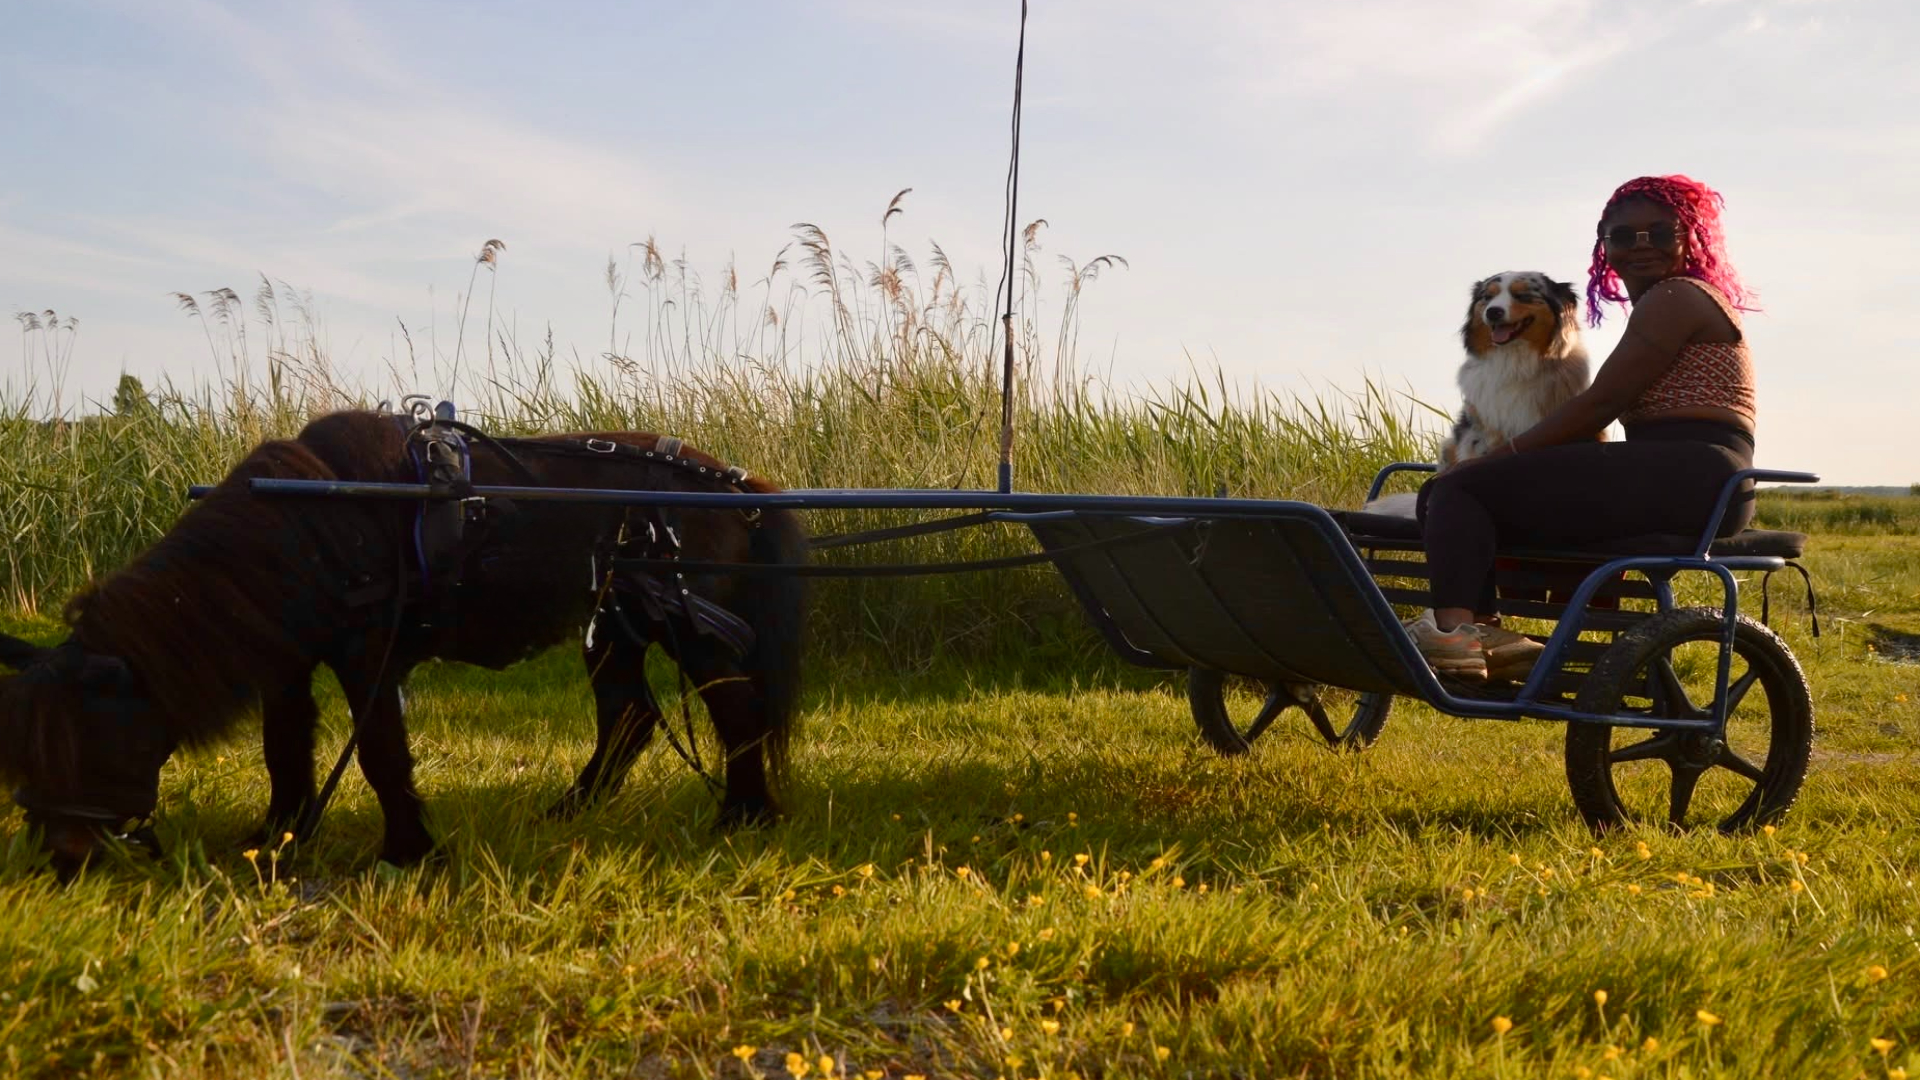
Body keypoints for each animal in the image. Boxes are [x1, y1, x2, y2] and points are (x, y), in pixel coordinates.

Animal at [0, 409, 808, 874]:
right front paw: (279, 835)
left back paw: (743, 816)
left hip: (689, 626)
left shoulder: (369, 657)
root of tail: (733, 483)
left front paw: (408, 851)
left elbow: (381, 754)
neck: (309, 520)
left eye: (86, 741)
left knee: (734, 713)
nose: (61, 862)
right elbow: (284, 749)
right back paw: (569, 811)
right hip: (614, 625)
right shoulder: (289, 667)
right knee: (629, 716)